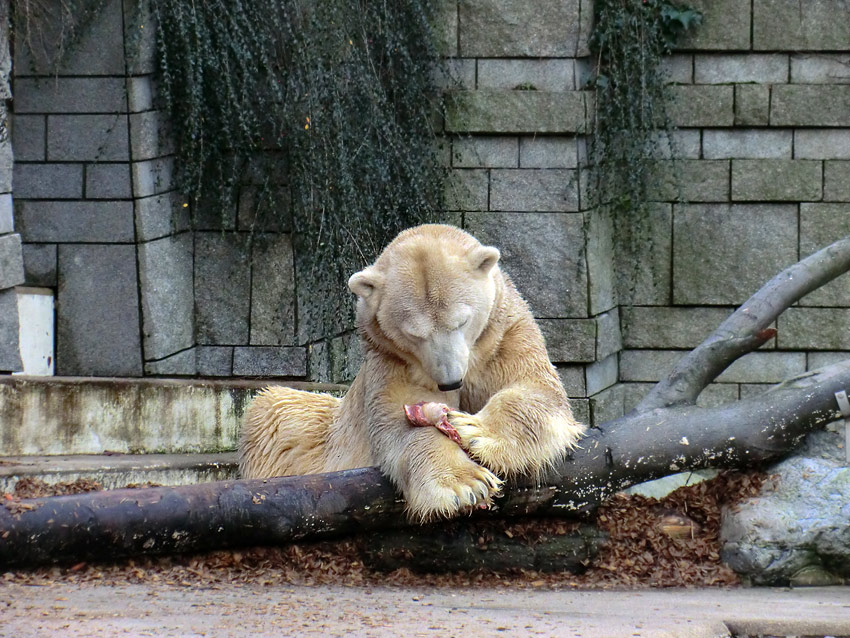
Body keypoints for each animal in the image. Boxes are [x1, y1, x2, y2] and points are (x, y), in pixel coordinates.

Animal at [238, 224, 584, 520]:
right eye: (415, 333)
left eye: (462, 321)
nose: (450, 381)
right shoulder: (393, 358)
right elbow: (401, 420)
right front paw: (465, 485)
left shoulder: (504, 335)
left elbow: (536, 389)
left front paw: (474, 430)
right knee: (274, 408)